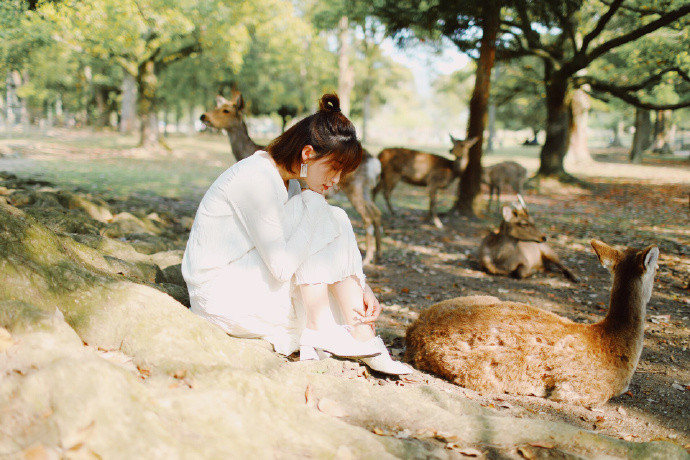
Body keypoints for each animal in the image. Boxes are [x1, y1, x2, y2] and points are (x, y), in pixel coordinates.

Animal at [199, 91, 382, 264]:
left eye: (226, 110)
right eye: (217, 107)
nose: (203, 116)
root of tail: (374, 164)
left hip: (354, 187)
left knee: (367, 216)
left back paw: (368, 258)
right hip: (365, 189)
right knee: (376, 212)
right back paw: (377, 254)